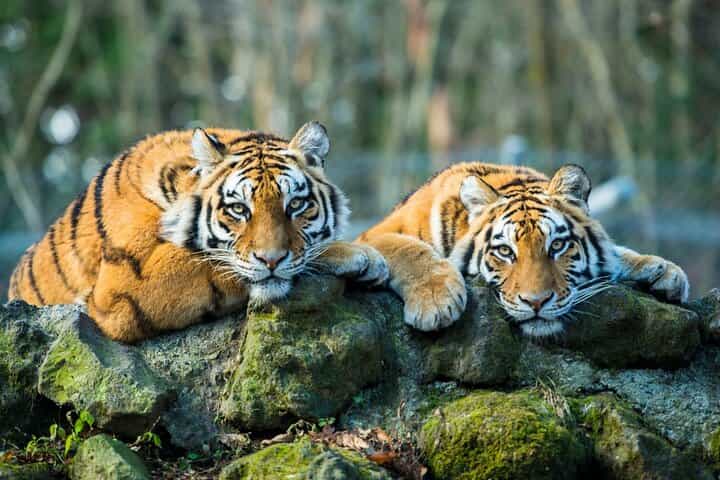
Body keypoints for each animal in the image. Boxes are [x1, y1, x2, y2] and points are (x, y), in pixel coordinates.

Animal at [7, 121, 388, 343]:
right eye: (239, 209)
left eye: (295, 204)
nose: (271, 260)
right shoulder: (123, 285)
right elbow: (212, 261)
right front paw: (359, 254)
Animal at [358, 162, 689, 337]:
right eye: (505, 252)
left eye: (557, 245)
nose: (536, 302)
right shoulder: (373, 236)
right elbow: (409, 249)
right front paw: (435, 302)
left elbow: (617, 253)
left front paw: (664, 270)